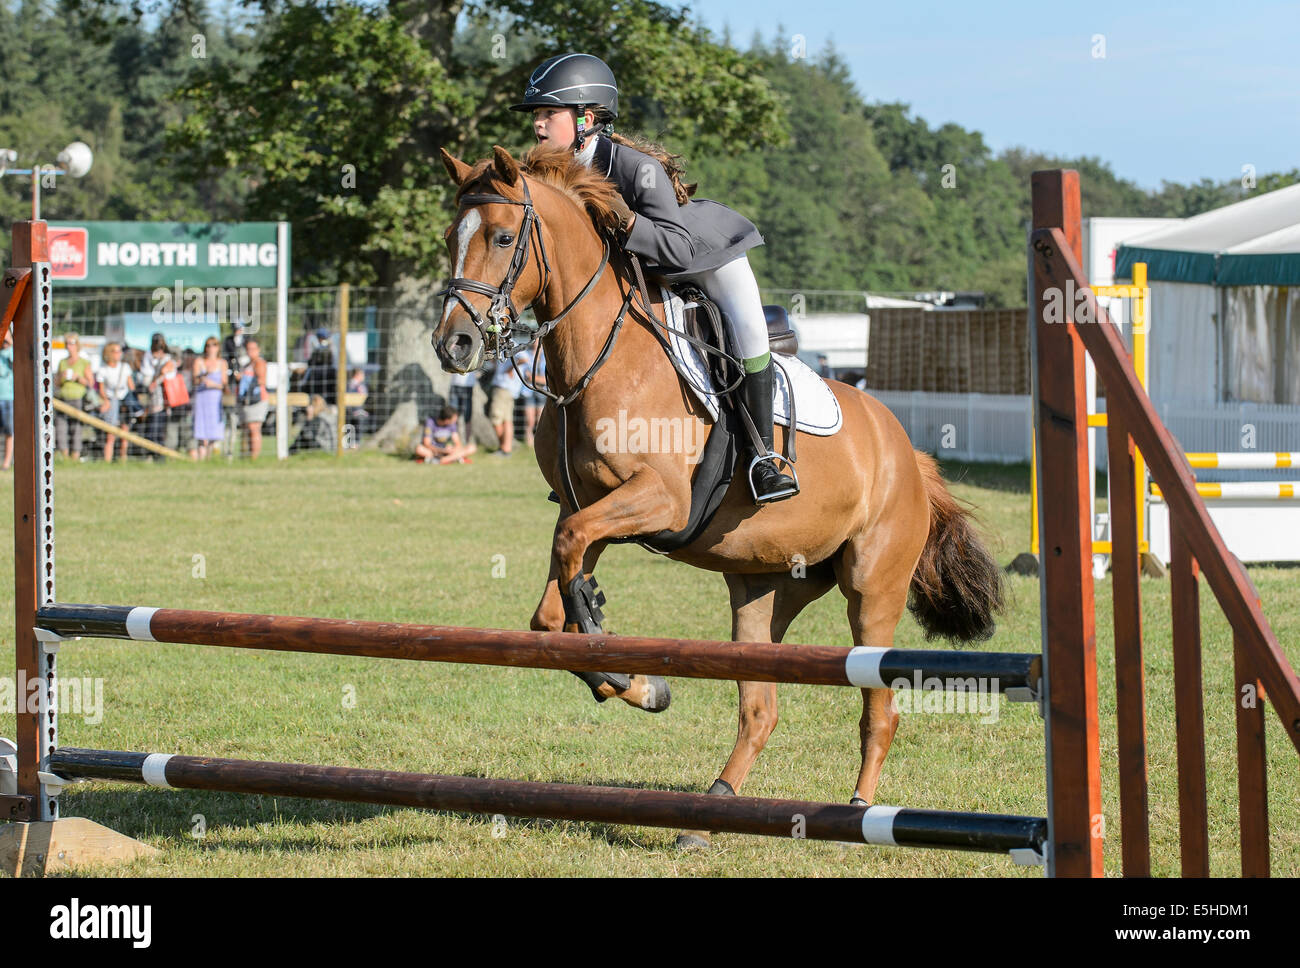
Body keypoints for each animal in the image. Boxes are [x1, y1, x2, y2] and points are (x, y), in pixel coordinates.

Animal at [436, 143, 1003, 847]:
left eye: (503, 237)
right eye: (450, 239)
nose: (453, 345)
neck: (600, 354)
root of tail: (906, 451)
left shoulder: (657, 500)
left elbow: (571, 568)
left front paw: (624, 670)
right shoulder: (584, 505)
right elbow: (552, 611)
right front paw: (636, 680)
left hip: (872, 589)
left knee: (880, 705)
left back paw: (859, 810)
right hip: (767, 586)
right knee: (761, 706)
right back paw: (712, 810)